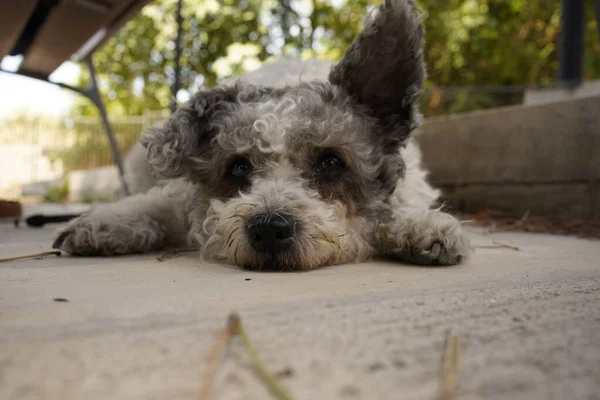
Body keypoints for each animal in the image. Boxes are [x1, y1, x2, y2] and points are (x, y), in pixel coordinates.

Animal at [54, 0, 472, 270]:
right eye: (238, 167)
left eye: (331, 161)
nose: (269, 229)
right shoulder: (177, 193)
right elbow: (156, 206)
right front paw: (102, 225)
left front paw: (419, 226)